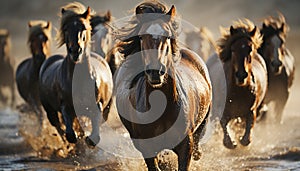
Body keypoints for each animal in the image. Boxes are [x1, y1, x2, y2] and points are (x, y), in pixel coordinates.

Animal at [37, 2, 112, 147]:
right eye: (66, 28)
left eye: (83, 27)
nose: (75, 51)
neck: (80, 80)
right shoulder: (66, 106)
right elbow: (70, 134)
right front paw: (76, 140)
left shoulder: (96, 105)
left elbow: (94, 135)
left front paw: (88, 140)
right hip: (50, 110)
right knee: (58, 126)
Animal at [207, 19, 268, 148]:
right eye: (233, 50)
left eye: (250, 49)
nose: (241, 75)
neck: (239, 91)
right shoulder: (222, 111)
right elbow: (224, 124)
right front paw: (232, 143)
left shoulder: (251, 111)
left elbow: (247, 135)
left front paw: (241, 140)